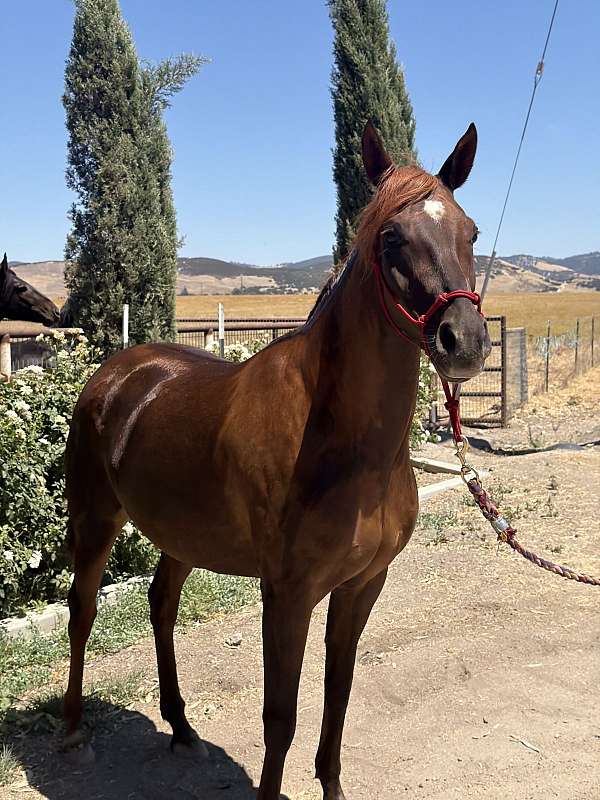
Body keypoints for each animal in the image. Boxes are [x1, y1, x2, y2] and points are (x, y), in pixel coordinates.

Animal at [63, 121, 490, 800]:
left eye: (469, 231)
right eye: (392, 237)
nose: (464, 341)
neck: (342, 441)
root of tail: (116, 372)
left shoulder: (363, 585)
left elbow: (337, 696)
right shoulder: (287, 594)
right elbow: (280, 718)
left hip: (182, 535)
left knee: (161, 604)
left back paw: (181, 725)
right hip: (96, 521)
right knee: (81, 614)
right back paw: (74, 730)